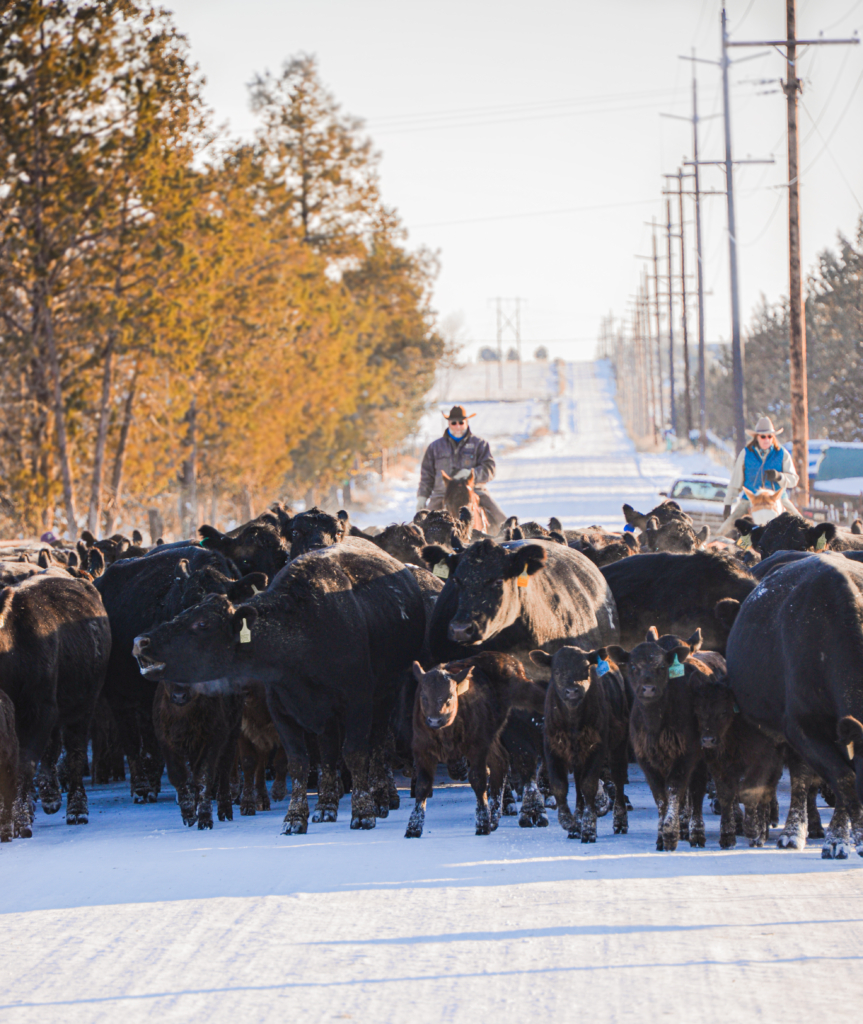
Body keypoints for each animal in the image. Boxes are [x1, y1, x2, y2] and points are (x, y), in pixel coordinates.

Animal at [0, 573, 111, 835]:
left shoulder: (39, 710)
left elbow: (24, 764)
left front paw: (20, 821)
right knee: (53, 749)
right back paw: (49, 796)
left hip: (83, 707)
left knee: (74, 753)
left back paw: (77, 809)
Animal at [133, 544, 427, 831]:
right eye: (182, 611)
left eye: (202, 624)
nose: (140, 641)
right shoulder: (282, 710)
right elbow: (298, 762)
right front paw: (296, 816)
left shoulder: (358, 703)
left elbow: (355, 754)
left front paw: (363, 812)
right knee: (329, 751)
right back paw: (326, 806)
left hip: (386, 695)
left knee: (378, 747)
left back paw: (380, 800)